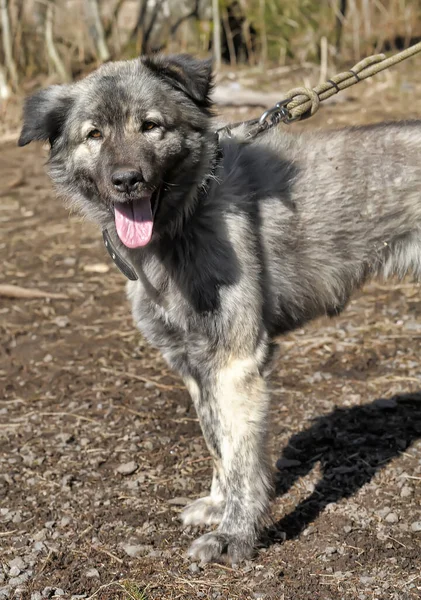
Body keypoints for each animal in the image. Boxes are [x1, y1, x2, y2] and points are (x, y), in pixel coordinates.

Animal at [18, 54, 420, 564]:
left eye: (150, 125)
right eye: (94, 134)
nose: (127, 181)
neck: (189, 212)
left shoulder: (235, 362)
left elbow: (242, 457)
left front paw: (235, 534)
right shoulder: (193, 364)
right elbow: (217, 445)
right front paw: (216, 505)